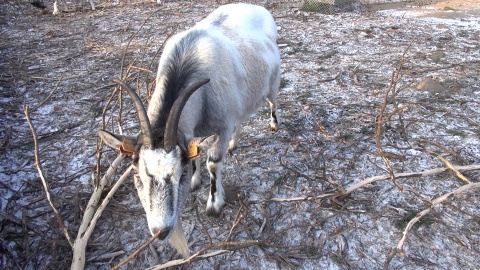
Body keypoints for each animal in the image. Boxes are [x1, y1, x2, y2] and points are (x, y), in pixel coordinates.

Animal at [100, 3, 284, 258]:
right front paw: (197, 180)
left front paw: (214, 204)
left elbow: (213, 163)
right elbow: (196, 151)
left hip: (272, 82)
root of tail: (255, 7)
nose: (161, 231)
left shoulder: (221, 125)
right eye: (137, 174)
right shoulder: (195, 127)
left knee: (273, 100)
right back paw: (234, 143)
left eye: (180, 174)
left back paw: (274, 123)